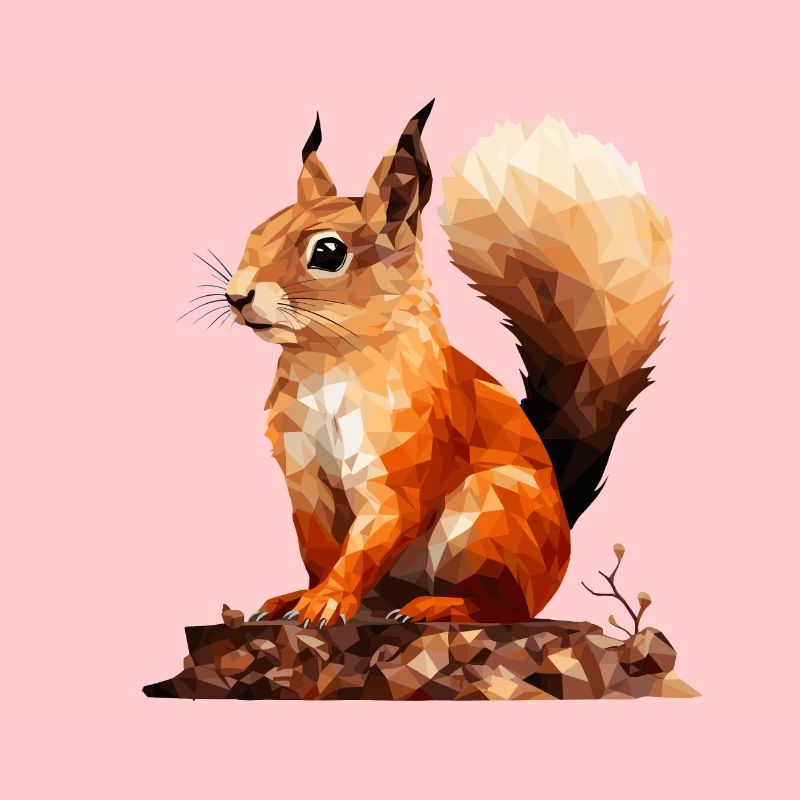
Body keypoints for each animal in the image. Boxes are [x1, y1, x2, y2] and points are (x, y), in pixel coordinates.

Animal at [220, 99, 672, 627]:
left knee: (503, 608)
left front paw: (326, 599)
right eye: (256, 231)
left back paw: (438, 606)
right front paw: (304, 595)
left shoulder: (405, 461)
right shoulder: (303, 477)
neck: (328, 364)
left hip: (484, 519)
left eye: (328, 253)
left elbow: (372, 536)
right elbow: (317, 548)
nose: (236, 296)